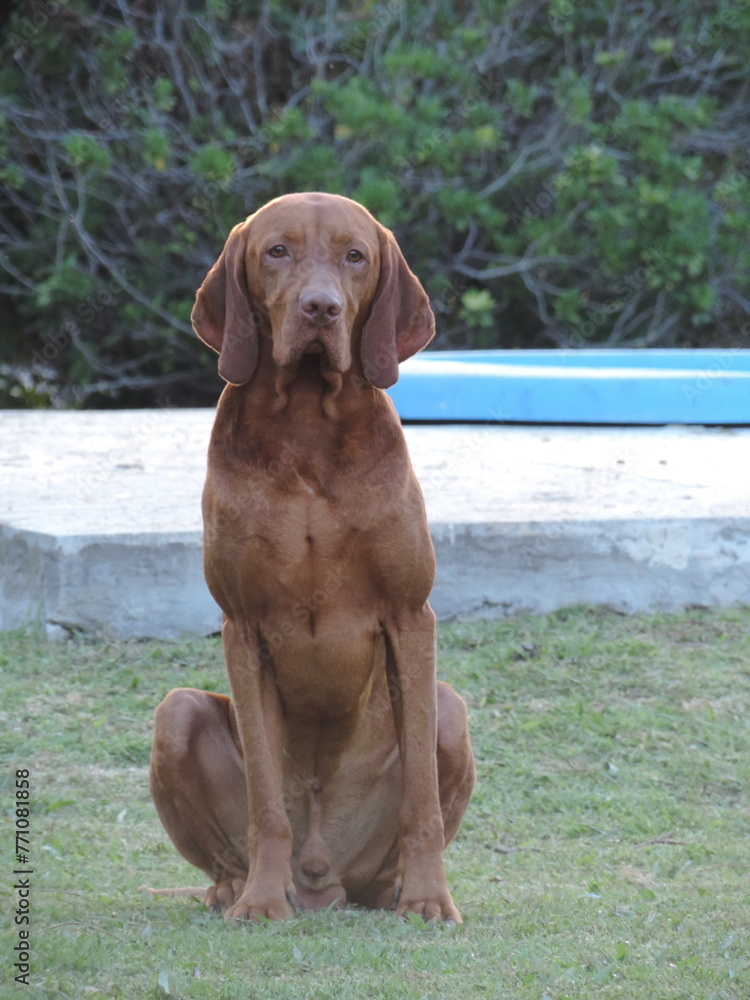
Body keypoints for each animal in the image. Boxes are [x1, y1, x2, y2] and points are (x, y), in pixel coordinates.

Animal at [148, 191, 476, 924]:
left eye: (355, 256)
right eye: (278, 251)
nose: (320, 308)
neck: (306, 428)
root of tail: (328, 880)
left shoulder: (411, 618)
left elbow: (421, 803)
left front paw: (432, 898)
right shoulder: (243, 627)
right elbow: (265, 802)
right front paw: (263, 901)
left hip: (448, 712)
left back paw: (397, 890)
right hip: (176, 714)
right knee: (230, 843)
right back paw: (243, 888)